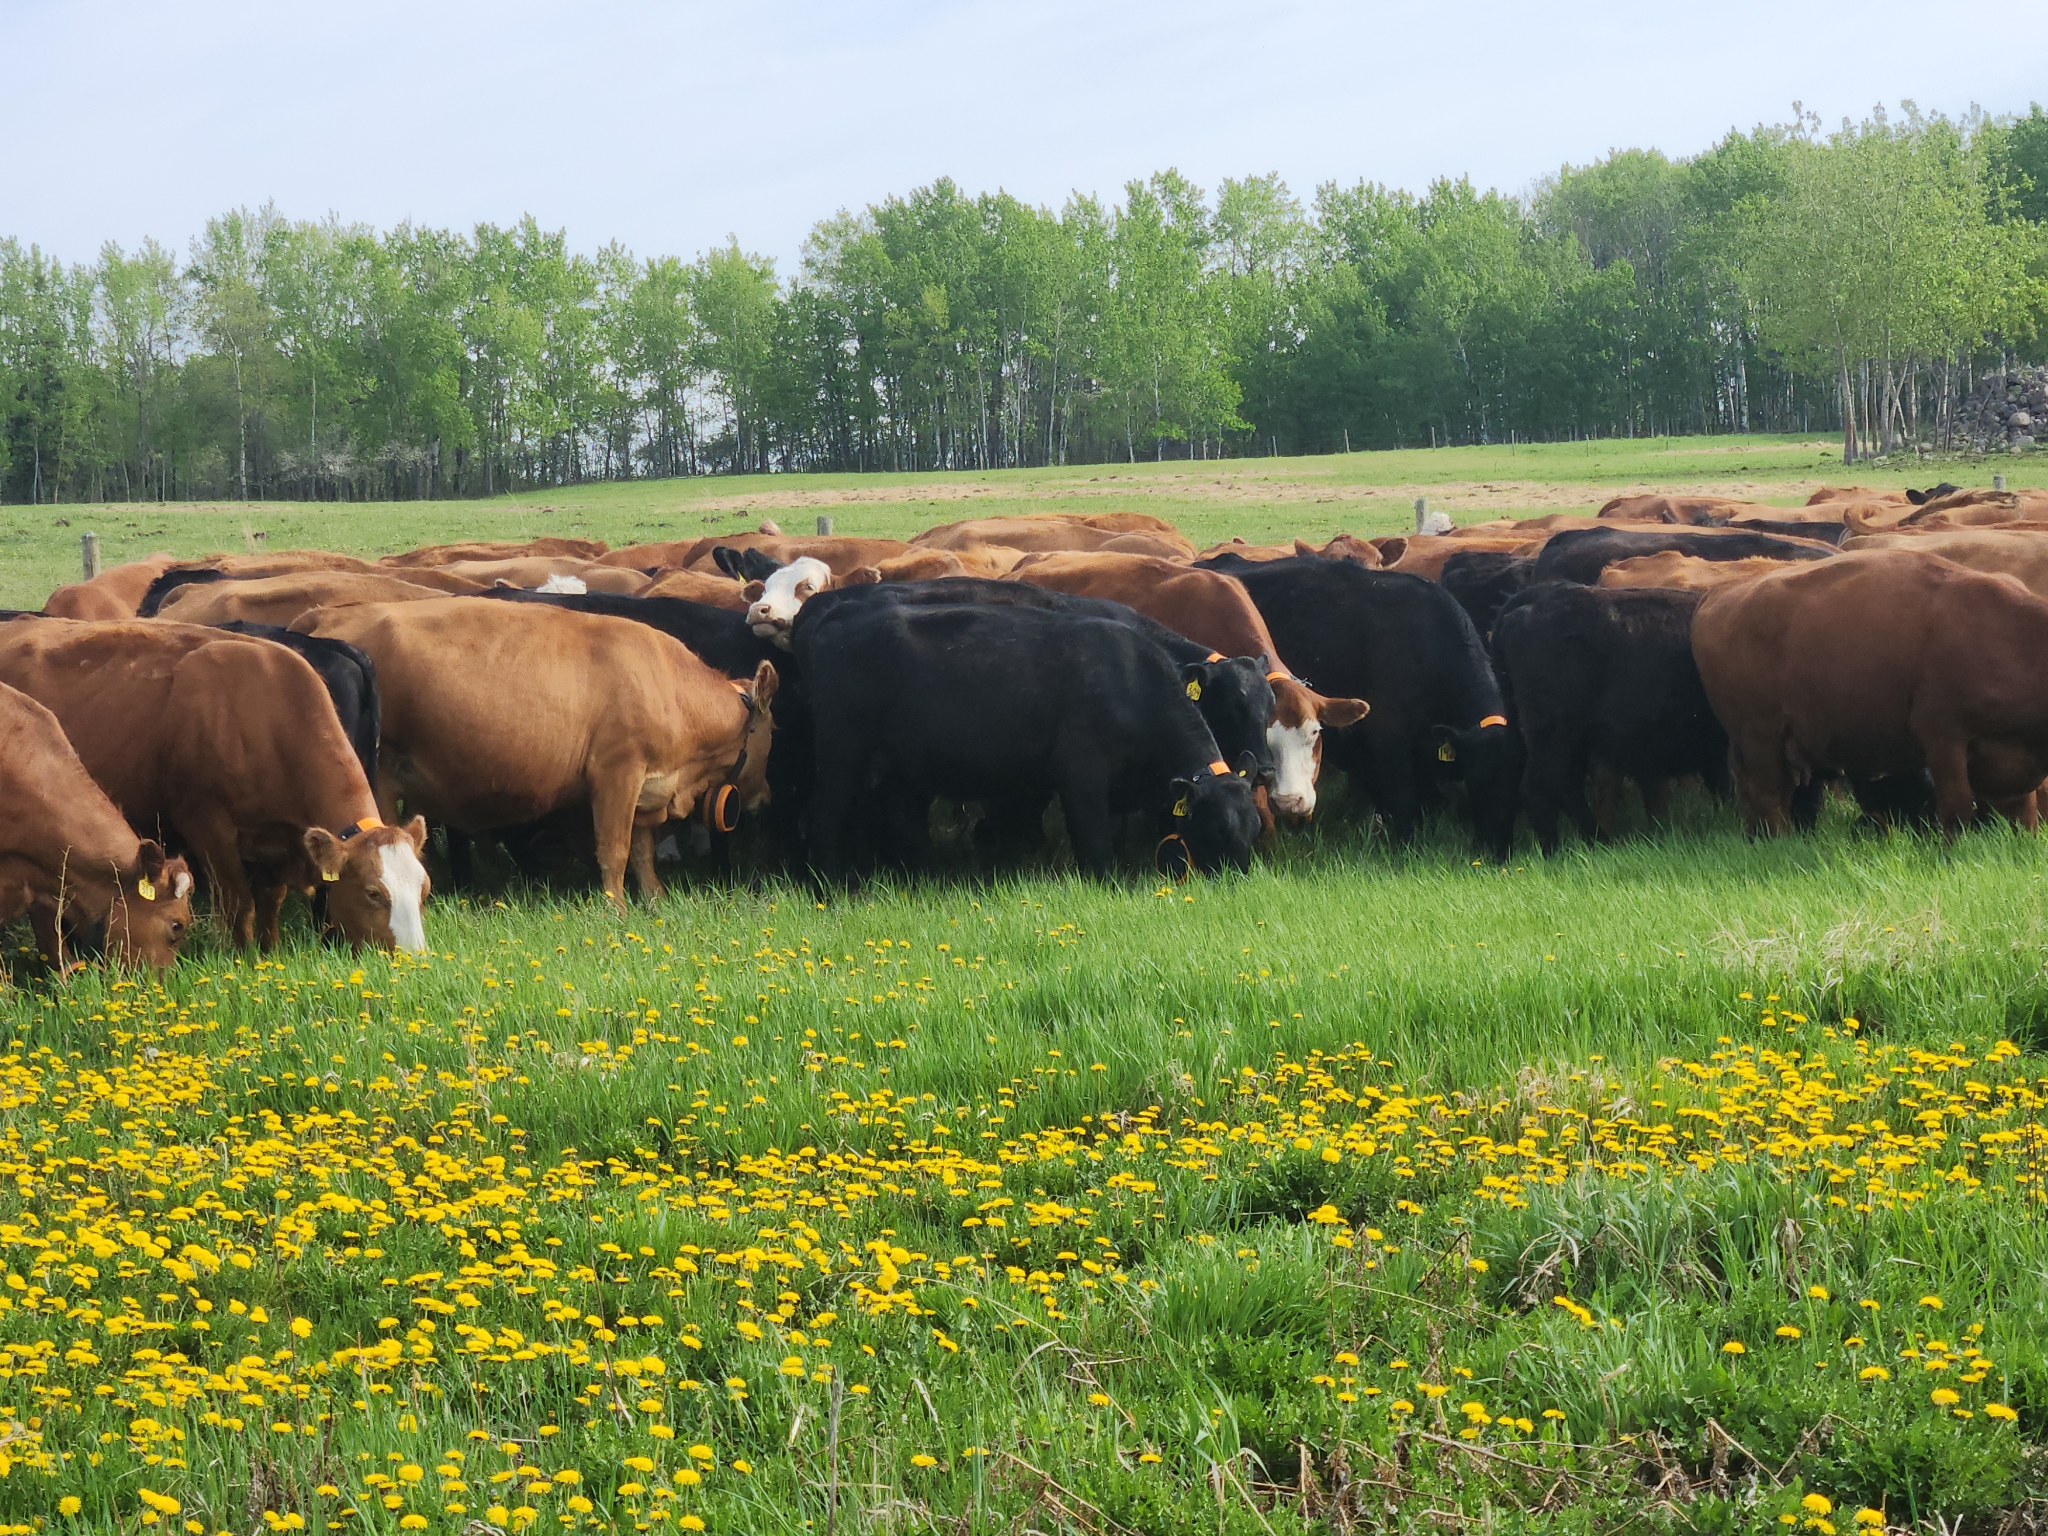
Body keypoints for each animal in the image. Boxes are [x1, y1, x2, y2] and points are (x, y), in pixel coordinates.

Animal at [293, 599, 776, 905]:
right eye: (776, 729)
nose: (765, 797)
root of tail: (324, 618)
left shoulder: (643, 787)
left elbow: (641, 852)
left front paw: (656, 901)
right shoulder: (616, 774)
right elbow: (615, 851)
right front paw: (616, 911)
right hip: (378, 778)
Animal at [792, 601, 1261, 880]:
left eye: (1254, 825)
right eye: (1219, 828)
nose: (1241, 880)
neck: (1131, 680)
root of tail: (838, 615)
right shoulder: (1080, 774)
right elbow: (1095, 841)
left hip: (902, 768)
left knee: (901, 818)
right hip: (840, 754)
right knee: (825, 814)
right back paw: (828, 883)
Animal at [1200, 556, 1519, 858]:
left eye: (1518, 787)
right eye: (1477, 782)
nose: (1498, 847)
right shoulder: (1389, 744)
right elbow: (1403, 798)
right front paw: (1405, 847)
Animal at [1491, 583, 1727, 854]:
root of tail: (1536, 597)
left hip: (1569, 740)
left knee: (1566, 788)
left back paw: (1598, 842)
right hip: (1552, 736)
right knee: (1539, 789)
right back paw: (1555, 852)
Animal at [1692, 550, 2048, 834]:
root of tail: (1719, 593)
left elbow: (2023, 811)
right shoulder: (1944, 739)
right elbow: (1957, 808)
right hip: (1760, 738)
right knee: (1767, 796)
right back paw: (1778, 842)